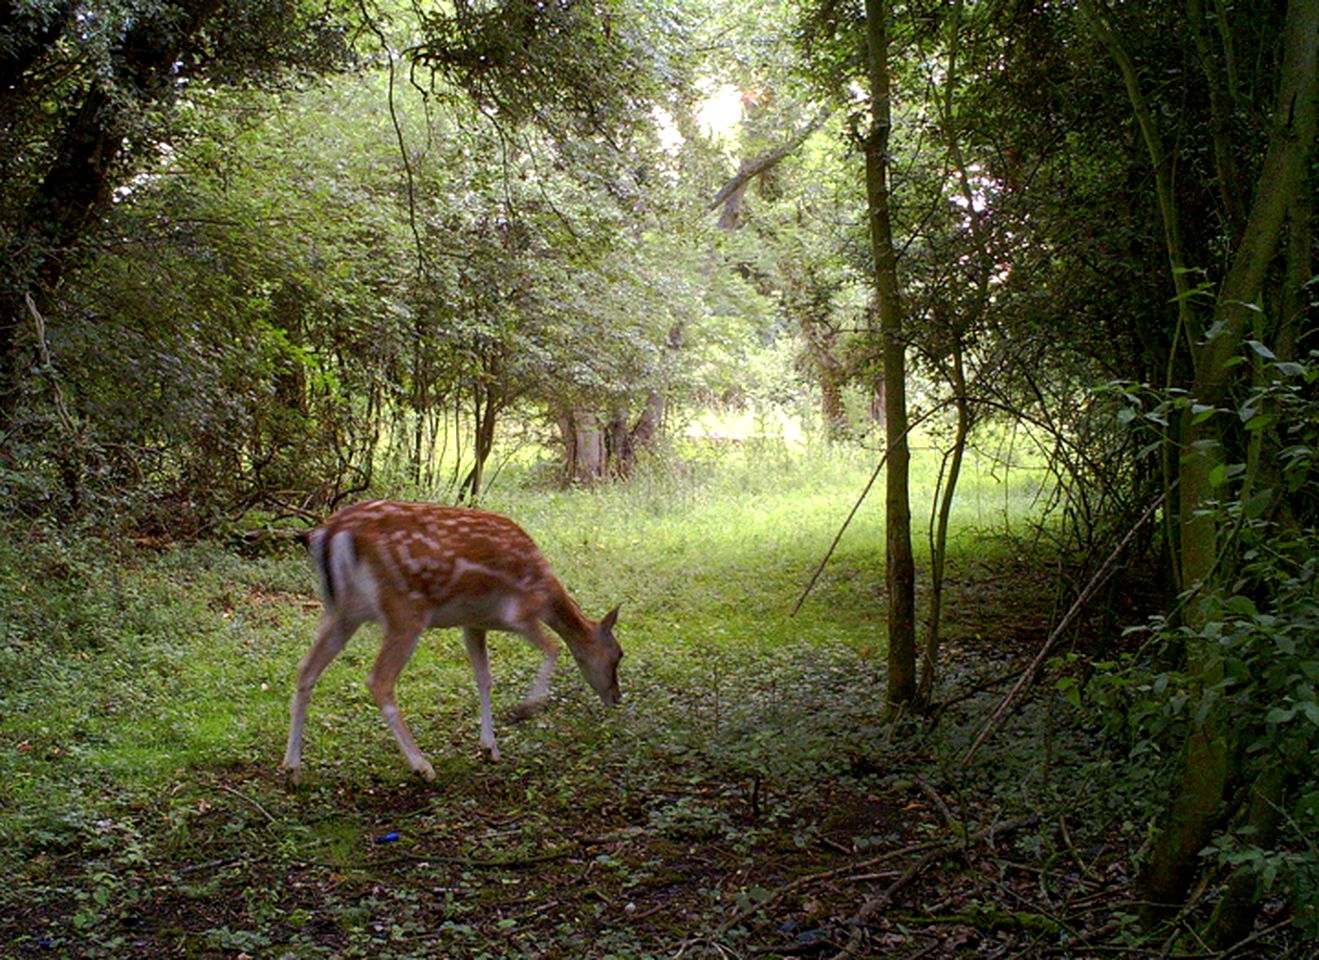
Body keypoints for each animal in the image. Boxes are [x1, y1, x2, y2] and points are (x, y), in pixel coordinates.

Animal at [280, 498, 619, 785]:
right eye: (618, 655)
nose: (616, 697)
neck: (547, 593)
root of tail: (331, 532)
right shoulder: (517, 612)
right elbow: (554, 647)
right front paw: (526, 707)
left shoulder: (474, 623)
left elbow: (484, 678)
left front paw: (489, 747)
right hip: (404, 609)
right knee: (379, 679)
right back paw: (422, 766)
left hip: (342, 612)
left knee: (305, 668)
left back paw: (292, 769)